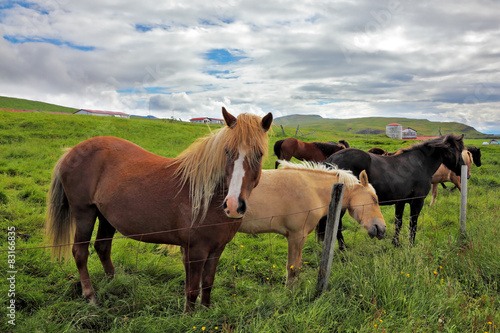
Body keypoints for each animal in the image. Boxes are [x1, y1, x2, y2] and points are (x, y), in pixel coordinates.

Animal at [46, 107, 274, 310]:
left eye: (259, 154)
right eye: (227, 152)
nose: (234, 205)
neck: (207, 196)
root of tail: (71, 152)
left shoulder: (216, 249)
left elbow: (208, 284)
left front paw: (207, 312)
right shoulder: (195, 250)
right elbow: (192, 289)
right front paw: (189, 318)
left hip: (105, 217)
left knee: (102, 248)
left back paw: (113, 282)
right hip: (84, 213)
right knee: (80, 252)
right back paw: (91, 296)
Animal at [238, 161, 386, 282]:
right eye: (374, 199)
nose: (382, 228)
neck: (312, 190)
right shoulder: (297, 236)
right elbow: (294, 269)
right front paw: (292, 295)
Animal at [318, 133, 466, 246]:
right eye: (458, 151)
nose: (463, 168)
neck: (418, 165)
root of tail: (331, 160)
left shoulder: (400, 202)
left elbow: (398, 222)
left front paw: (396, 243)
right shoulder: (417, 202)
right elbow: (413, 224)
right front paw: (411, 245)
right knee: (336, 225)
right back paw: (343, 250)